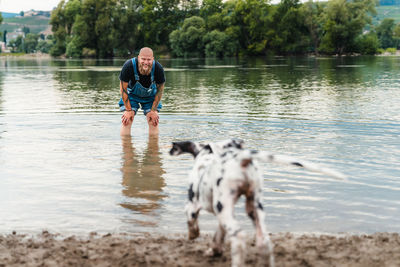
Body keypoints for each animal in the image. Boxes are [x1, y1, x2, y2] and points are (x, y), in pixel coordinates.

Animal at [169, 140, 344, 267]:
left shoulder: (192, 207)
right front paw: (214, 250)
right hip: (254, 207)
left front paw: (194, 235)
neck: (207, 158)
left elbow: (192, 224)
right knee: (263, 241)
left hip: (226, 209)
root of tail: (242, 159)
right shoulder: (222, 218)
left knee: (239, 238)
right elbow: (218, 236)